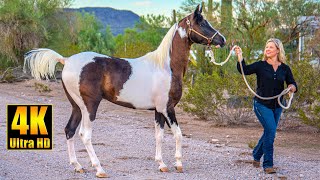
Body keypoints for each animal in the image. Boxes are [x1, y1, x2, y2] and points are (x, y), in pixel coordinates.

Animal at [23, 4, 225, 178]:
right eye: (202, 23)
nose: (222, 40)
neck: (165, 66)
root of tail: (66, 60)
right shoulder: (168, 109)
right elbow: (178, 134)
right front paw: (179, 164)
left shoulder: (158, 111)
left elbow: (159, 136)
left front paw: (162, 164)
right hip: (89, 106)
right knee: (84, 135)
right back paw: (99, 169)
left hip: (76, 106)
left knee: (69, 130)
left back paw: (78, 166)